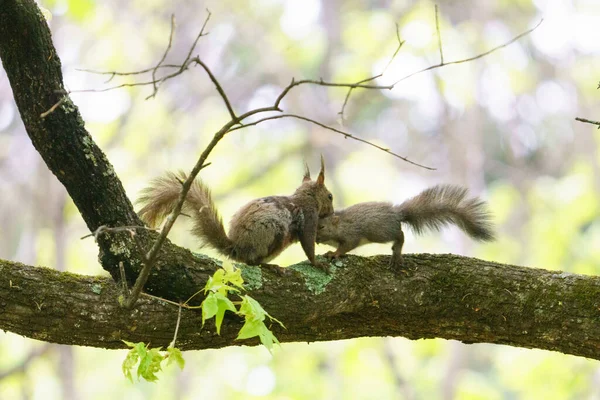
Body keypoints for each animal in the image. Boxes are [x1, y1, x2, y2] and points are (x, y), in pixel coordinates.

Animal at [137, 158, 336, 274]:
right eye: (330, 196)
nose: (332, 212)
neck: (305, 198)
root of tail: (237, 248)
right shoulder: (308, 216)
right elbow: (308, 242)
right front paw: (317, 263)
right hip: (273, 232)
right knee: (252, 262)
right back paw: (269, 266)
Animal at [316, 185, 494, 268]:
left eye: (322, 227)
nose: (315, 239)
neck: (339, 224)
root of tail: (397, 214)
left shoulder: (351, 234)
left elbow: (346, 246)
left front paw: (334, 254)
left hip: (379, 231)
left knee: (400, 235)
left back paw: (396, 253)